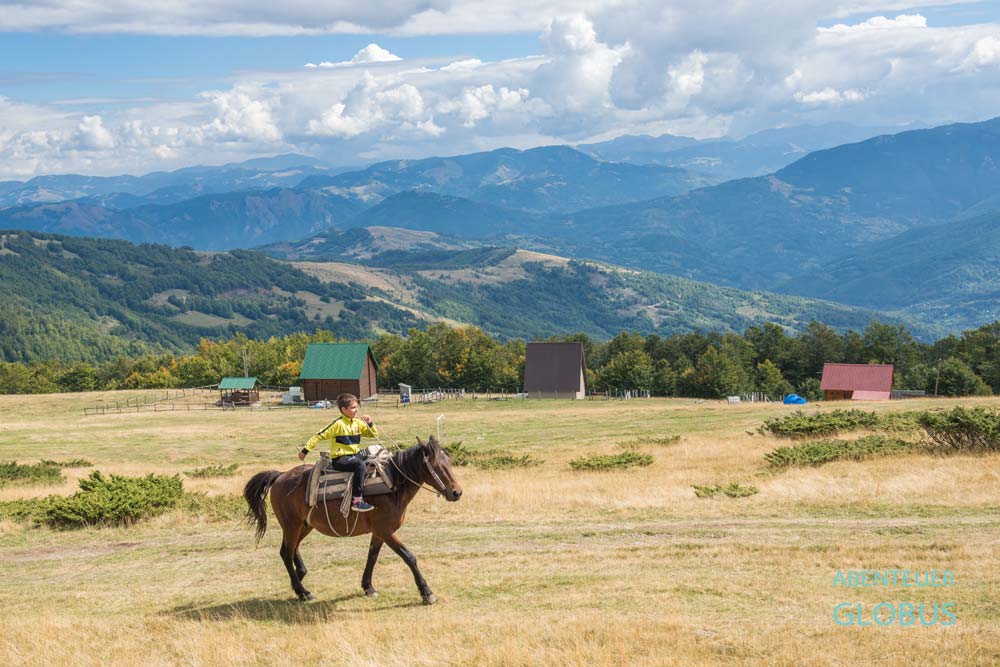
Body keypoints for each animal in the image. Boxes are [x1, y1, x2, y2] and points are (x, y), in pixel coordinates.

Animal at [243, 435, 462, 603]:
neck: (392, 485)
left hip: (304, 525)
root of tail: (280, 476)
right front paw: (427, 593)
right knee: (286, 553)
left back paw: (300, 577)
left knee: (292, 549)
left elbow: (372, 557)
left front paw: (368, 587)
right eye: (436, 465)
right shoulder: (386, 531)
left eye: (450, 462)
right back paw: (303, 592)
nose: (457, 492)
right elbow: (409, 557)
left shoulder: (379, 532)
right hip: (291, 524)